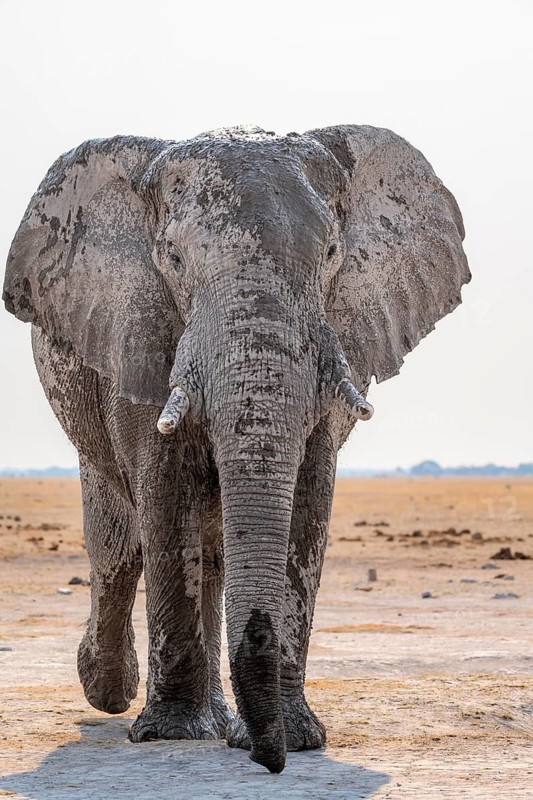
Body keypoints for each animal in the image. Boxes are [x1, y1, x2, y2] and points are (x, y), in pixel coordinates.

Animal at [3, 125, 469, 773]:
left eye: (332, 255)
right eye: (173, 260)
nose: (267, 761)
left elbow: (307, 499)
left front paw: (294, 737)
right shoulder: (140, 331)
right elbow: (164, 497)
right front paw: (171, 735)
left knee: (211, 552)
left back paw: (215, 718)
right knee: (119, 550)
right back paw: (111, 690)